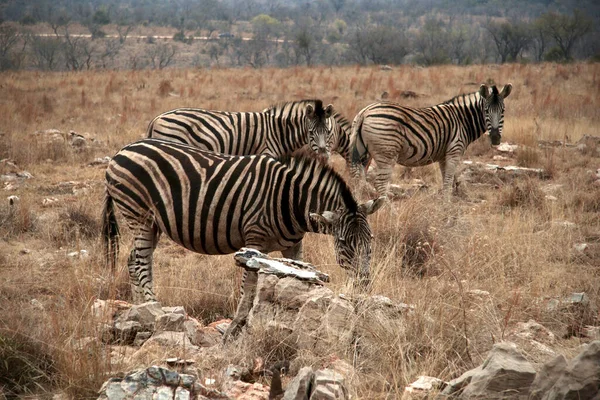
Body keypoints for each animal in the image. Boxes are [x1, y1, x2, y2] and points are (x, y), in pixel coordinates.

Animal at [103, 138, 384, 304]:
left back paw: (141, 308)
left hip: (153, 223)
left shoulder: (294, 245)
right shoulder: (254, 242)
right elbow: (247, 287)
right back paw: (154, 307)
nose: (364, 287)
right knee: (140, 262)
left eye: (370, 240)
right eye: (344, 243)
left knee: (134, 260)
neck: (290, 199)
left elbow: (303, 277)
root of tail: (122, 150)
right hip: (138, 214)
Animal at [145, 98, 332, 158]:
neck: (279, 132)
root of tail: (156, 118)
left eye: (328, 132)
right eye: (311, 132)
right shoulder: (266, 153)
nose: (324, 155)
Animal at [350, 84, 512, 197]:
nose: (495, 138)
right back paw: (391, 213)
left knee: (358, 181)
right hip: (386, 153)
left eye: (503, 111)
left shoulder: (443, 156)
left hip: (365, 154)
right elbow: (448, 183)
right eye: (486, 111)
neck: (462, 119)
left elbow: (446, 182)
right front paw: (447, 212)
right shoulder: (455, 150)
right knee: (380, 184)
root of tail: (365, 112)